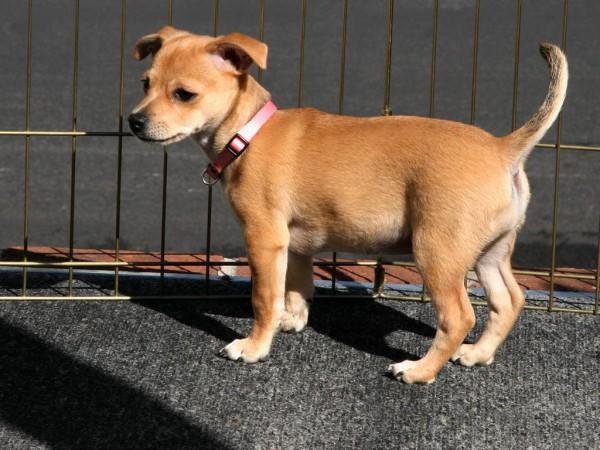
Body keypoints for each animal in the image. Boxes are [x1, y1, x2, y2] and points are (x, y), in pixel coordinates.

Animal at [127, 25, 568, 384]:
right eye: (145, 83)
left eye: (184, 95)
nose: (134, 121)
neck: (246, 132)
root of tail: (502, 149)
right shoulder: (296, 244)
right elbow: (297, 287)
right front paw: (291, 321)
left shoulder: (264, 238)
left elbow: (264, 298)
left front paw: (254, 346)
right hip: (490, 251)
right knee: (508, 300)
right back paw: (478, 354)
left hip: (436, 251)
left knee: (459, 316)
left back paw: (420, 371)